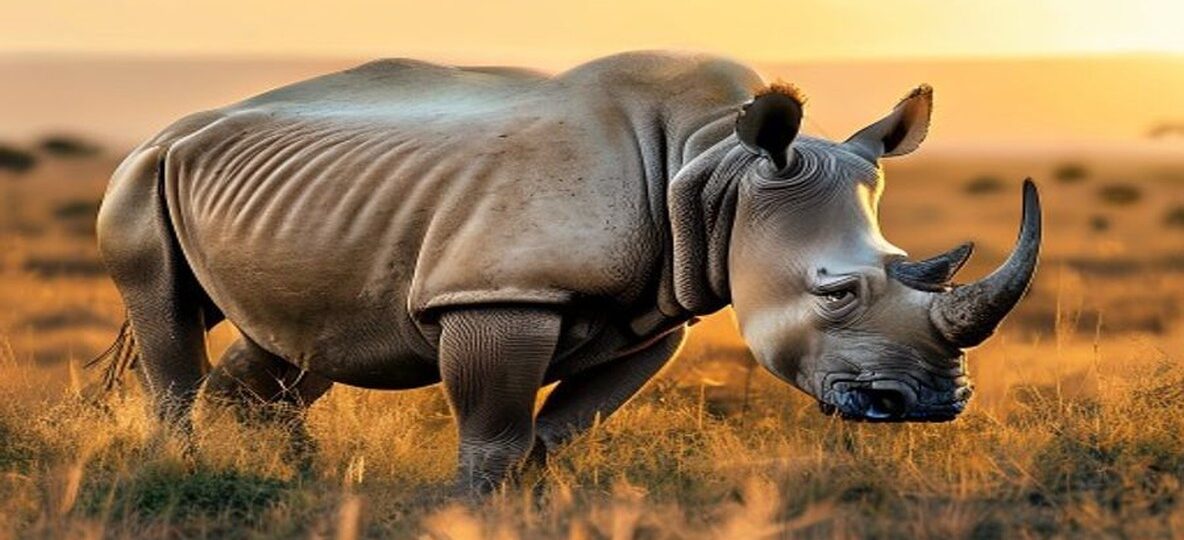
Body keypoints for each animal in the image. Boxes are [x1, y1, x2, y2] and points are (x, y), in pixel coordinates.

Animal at [93, 51, 1041, 493]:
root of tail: (175, 127)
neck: (717, 170)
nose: (931, 405)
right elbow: (495, 431)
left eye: (913, 268)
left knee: (293, 340)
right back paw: (186, 472)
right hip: (141, 175)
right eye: (837, 292)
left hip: (300, 201)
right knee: (165, 319)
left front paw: (532, 504)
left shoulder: (660, 309)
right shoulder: (499, 294)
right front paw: (471, 509)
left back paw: (292, 477)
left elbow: (558, 429)